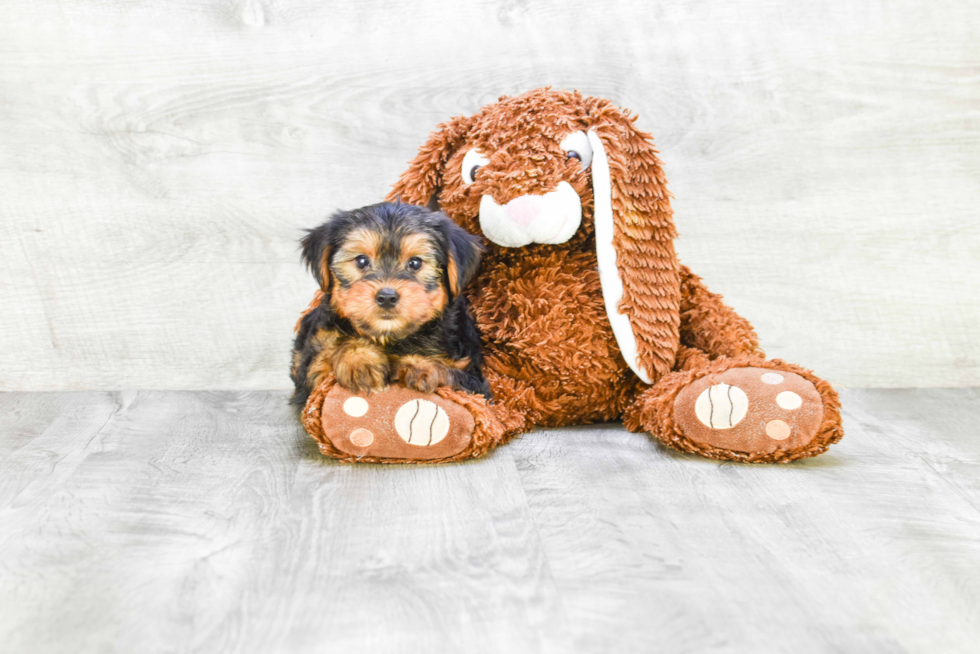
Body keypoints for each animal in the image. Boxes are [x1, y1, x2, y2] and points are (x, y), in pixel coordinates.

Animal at [290, 202, 490, 408]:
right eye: (361, 261)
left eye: (415, 263)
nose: (387, 297)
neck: (390, 337)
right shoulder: (313, 363)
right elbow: (324, 358)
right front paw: (359, 359)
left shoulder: (475, 382)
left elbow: (454, 374)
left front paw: (423, 366)